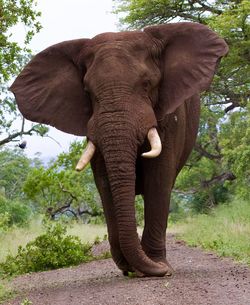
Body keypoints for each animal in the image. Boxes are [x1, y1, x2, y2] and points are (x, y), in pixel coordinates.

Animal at [10, 22, 229, 276]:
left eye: (147, 84)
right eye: (88, 92)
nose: (160, 270)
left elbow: (158, 178)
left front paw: (159, 267)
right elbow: (104, 182)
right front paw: (133, 268)